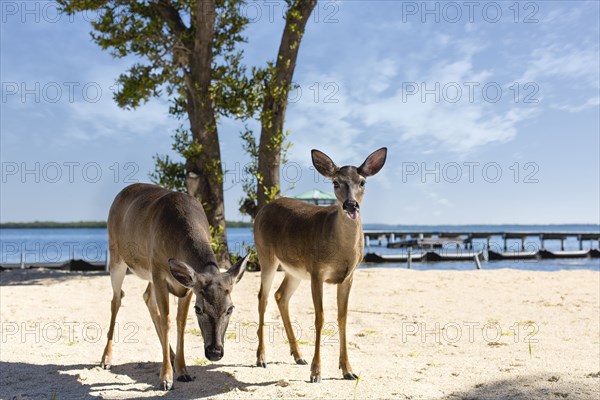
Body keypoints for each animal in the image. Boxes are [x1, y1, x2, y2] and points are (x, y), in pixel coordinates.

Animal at [101, 184, 248, 390]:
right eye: (199, 309)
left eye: (230, 309)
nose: (215, 352)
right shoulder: (158, 271)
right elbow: (167, 320)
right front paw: (166, 378)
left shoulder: (187, 287)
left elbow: (181, 322)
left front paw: (183, 371)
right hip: (116, 255)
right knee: (116, 299)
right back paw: (106, 359)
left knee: (146, 296)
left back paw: (170, 354)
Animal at [254, 147, 390, 382]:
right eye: (335, 182)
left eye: (362, 182)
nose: (351, 205)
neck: (341, 252)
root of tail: (262, 209)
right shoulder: (317, 271)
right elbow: (320, 317)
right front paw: (316, 372)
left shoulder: (348, 276)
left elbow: (343, 317)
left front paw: (347, 369)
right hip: (266, 256)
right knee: (263, 297)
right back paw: (261, 358)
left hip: (294, 270)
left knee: (280, 295)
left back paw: (298, 355)